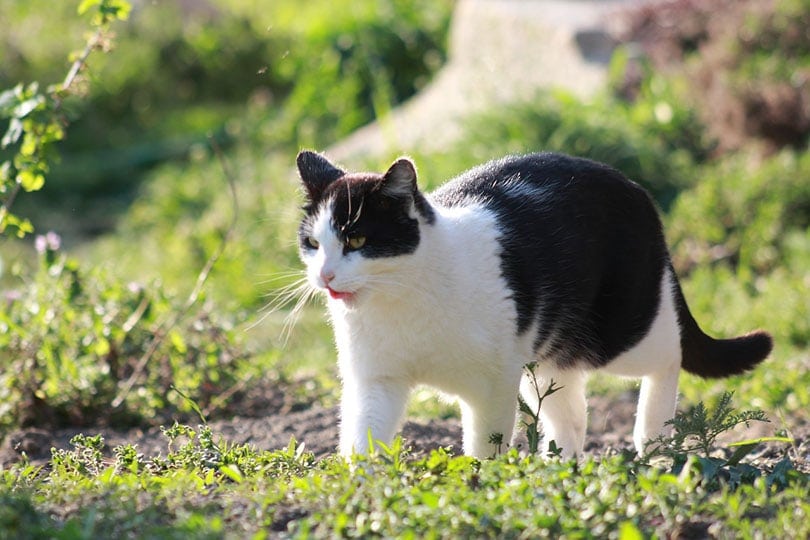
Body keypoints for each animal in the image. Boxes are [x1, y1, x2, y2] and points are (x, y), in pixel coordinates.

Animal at [292, 150, 772, 458]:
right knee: (571, 416)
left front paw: (480, 487)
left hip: (619, 331)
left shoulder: (490, 388)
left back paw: (651, 439)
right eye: (313, 244)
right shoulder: (376, 380)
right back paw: (560, 469)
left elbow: (485, 448)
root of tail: (635, 188)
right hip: (547, 358)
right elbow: (362, 440)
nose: (325, 275)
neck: (398, 302)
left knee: (669, 354)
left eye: (356, 240)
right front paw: (361, 491)